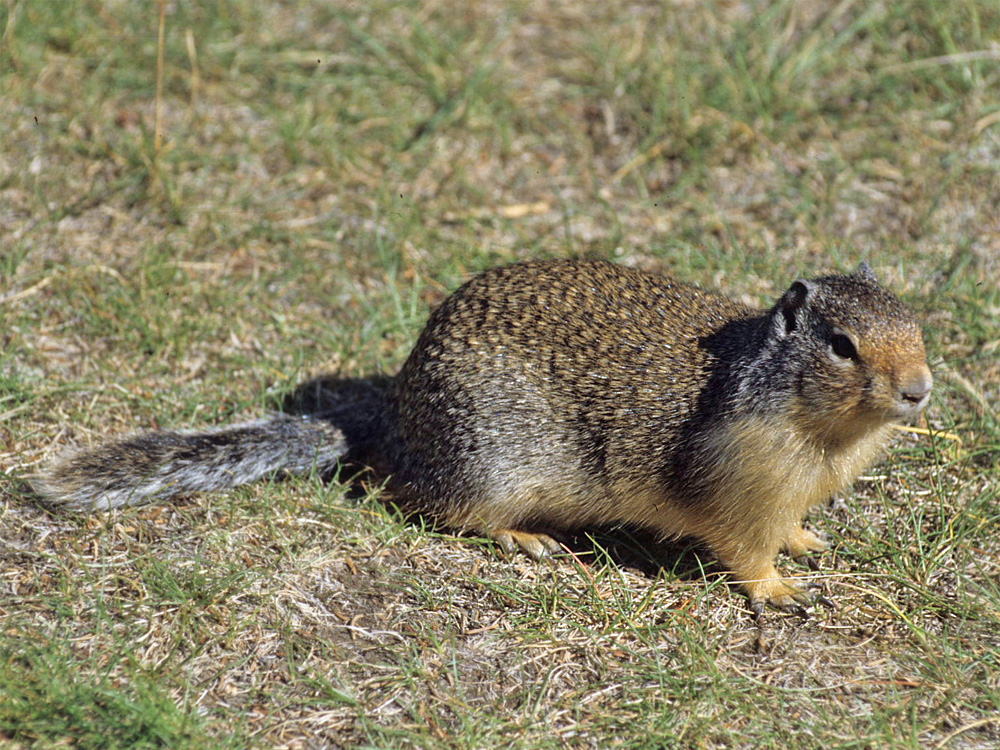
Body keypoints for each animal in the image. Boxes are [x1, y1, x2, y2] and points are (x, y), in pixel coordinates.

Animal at [35, 262, 932, 612]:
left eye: (917, 324)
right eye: (842, 345)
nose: (920, 389)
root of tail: (395, 413)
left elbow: (791, 527)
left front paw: (810, 542)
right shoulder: (741, 487)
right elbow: (744, 553)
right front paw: (781, 591)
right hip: (487, 468)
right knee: (423, 503)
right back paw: (526, 540)